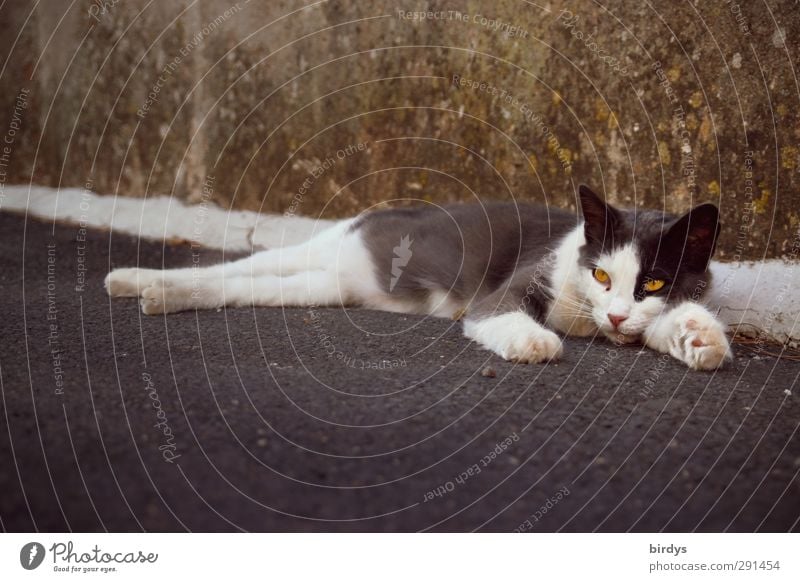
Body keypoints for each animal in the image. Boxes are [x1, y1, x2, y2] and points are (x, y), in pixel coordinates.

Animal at [104, 185, 732, 372]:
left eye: (653, 284)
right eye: (601, 272)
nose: (618, 313)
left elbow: (669, 324)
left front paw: (698, 337)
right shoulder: (520, 282)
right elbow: (498, 311)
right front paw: (535, 340)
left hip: (326, 284)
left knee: (245, 287)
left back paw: (154, 291)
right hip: (331, 245)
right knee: (241, 266)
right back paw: (135, 279)